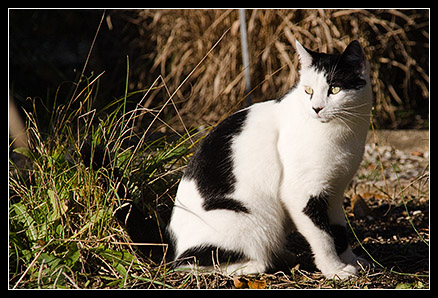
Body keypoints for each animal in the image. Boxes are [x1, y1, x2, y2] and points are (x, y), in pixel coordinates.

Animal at [166, 39, 372, 280]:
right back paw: (257, 264)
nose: (317, 108)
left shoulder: (335, 192)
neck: (342, 133)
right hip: (248, 219)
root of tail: (176, 248)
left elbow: (339, 231)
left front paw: (351, 260)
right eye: (308, 90)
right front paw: (334, 269)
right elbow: (322, 237)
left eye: (335, 89)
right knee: (192, 262)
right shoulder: (301, 193)